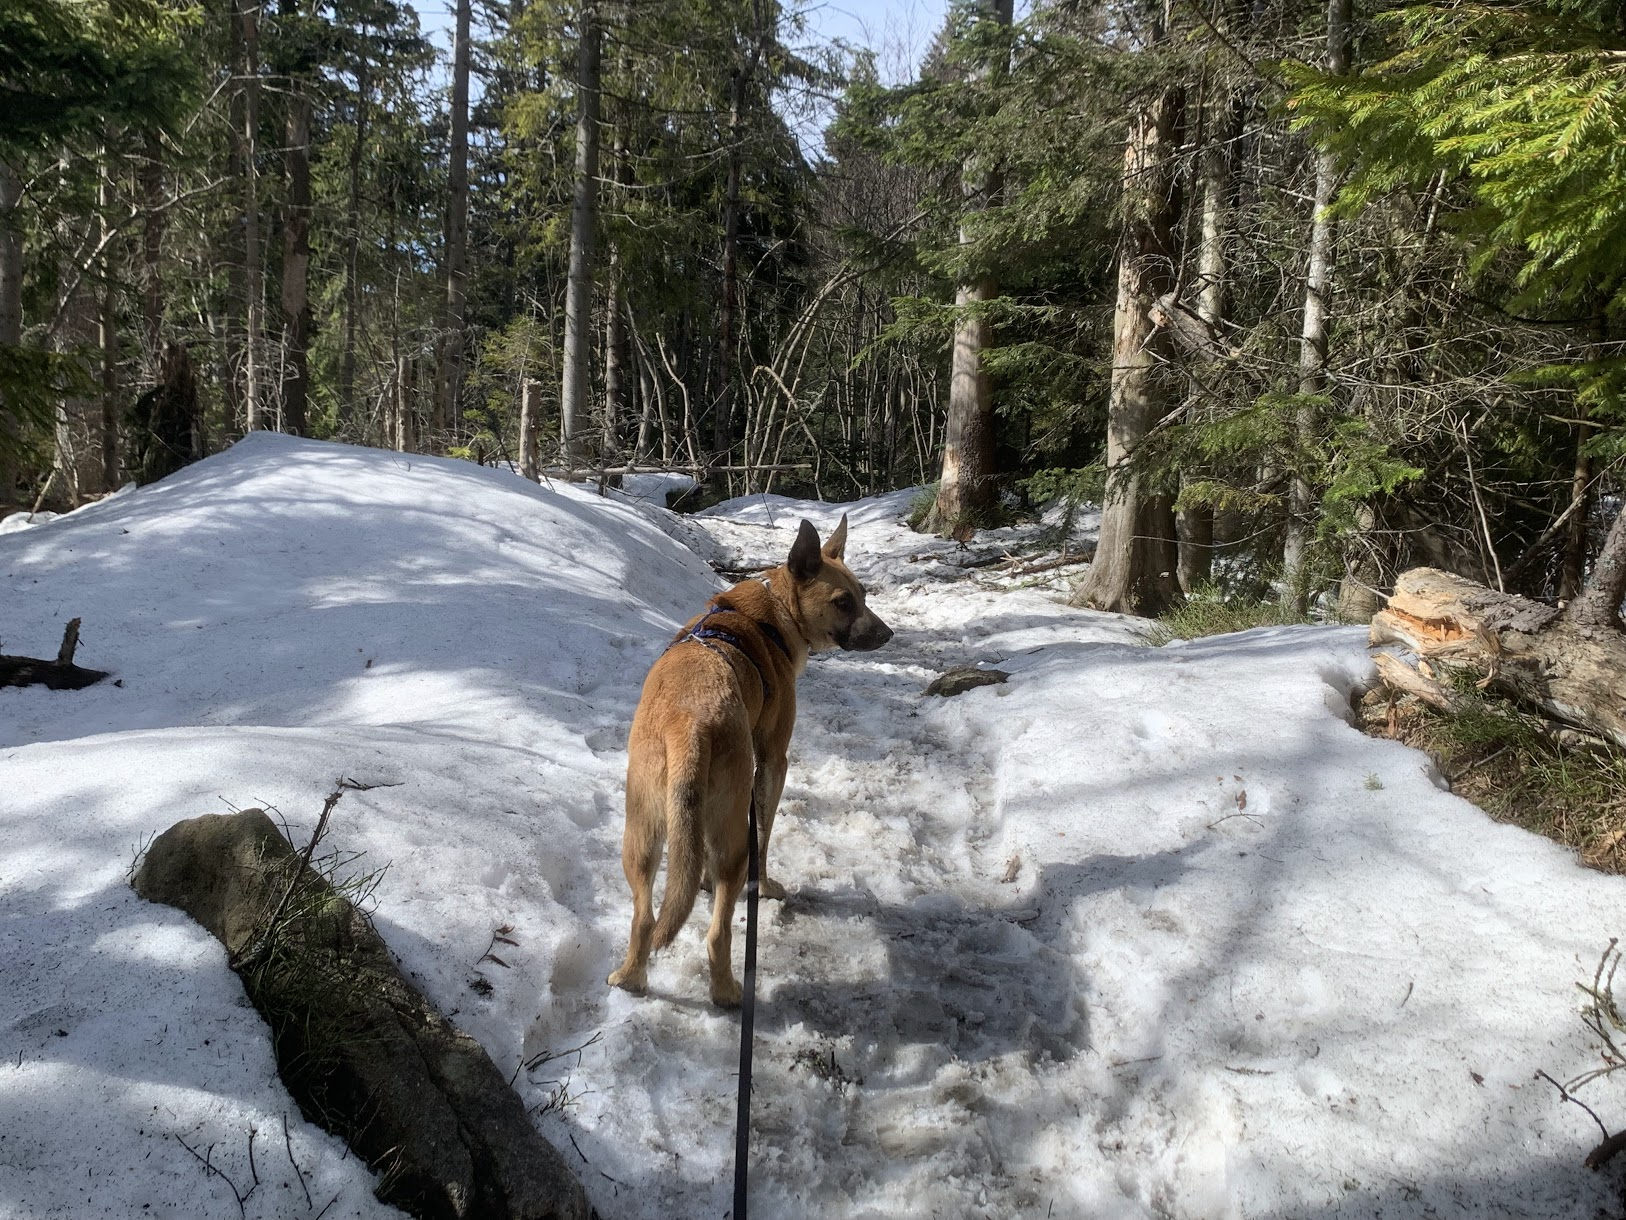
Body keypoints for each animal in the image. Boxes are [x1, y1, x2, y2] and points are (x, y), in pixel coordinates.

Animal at [608, 517, 897, 1015]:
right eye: (844, 602)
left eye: (864, 594)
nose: (888, 635)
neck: (773, 614)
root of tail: (688, 723)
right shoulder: (773, 762)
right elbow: (766, 832)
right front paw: (766, 886)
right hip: (732, 839)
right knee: (718, 931)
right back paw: (727, 991)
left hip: (641, 833)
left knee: (644, 917)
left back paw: (630, 977)